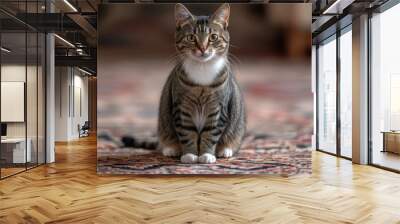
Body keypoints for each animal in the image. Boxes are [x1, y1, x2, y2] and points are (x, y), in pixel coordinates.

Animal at [158, 3, 245, 164]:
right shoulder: (181, 107)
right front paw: (190, 154)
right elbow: (187, 132)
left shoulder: (218, 108)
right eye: (191, 37)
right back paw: (171, 148)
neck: (202, 69)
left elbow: (210, 134)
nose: (203, 48)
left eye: (213, 37)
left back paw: (225, 150)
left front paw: (206, 154)